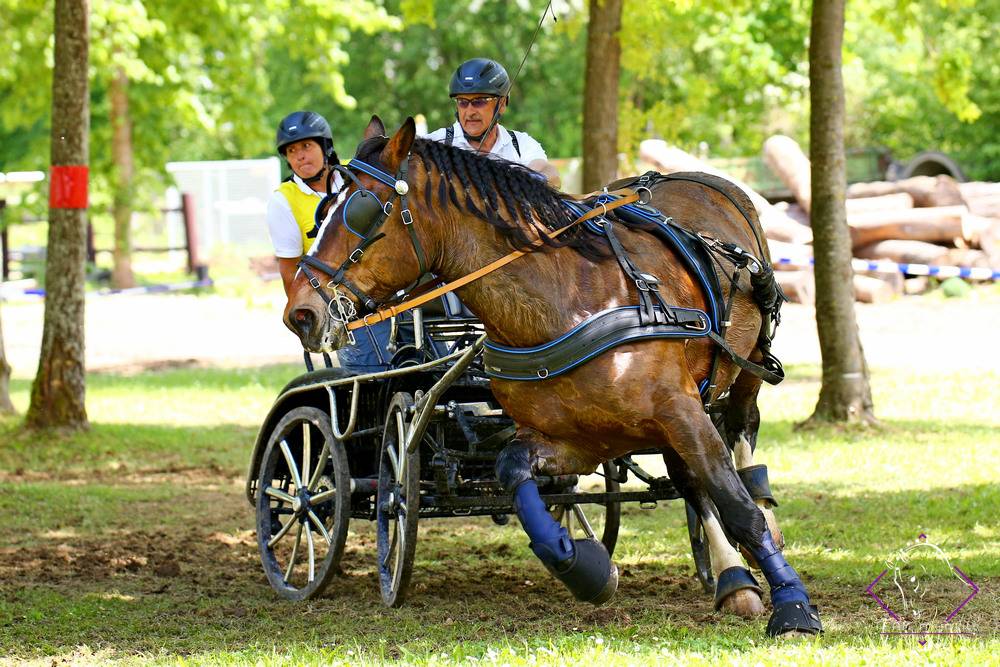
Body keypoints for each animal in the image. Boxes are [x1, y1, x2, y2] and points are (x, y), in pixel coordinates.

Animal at [280, 117, 820, 640]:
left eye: (359, 211)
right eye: (319, 212)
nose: (300, 313)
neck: (567, 303)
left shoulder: (677, 410)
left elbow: (737, 505)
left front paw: (793, 605)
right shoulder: (583, 438)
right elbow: (514, 471)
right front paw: (582, 565)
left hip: (745, 364)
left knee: (742, 436)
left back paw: (760, 530)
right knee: (691, 478)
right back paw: (732, 579)